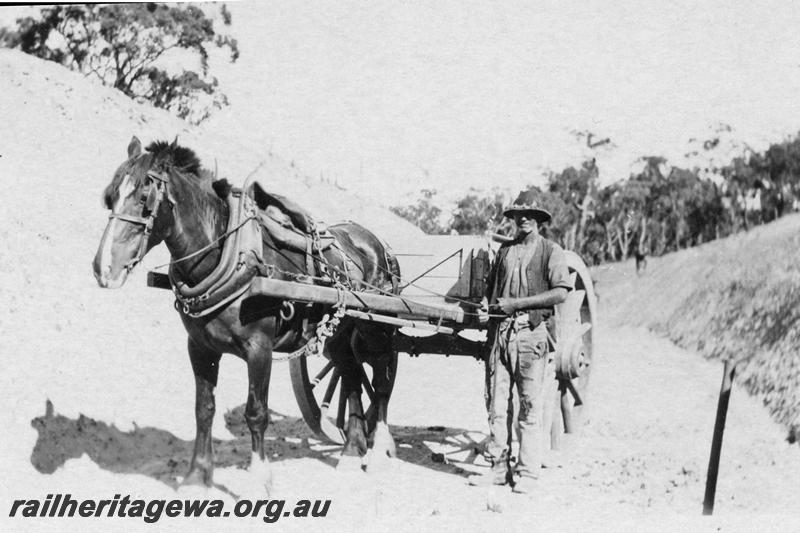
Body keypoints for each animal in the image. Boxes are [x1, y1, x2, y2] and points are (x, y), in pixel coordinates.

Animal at [93, 137, 400, 490]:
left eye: (145, 200)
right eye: (110, 197)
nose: (103, 268)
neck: (228, 253)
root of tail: (379, 245)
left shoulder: (259, 348)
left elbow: (256, 412)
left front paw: (259, 478)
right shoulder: (199, 347)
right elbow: (204, 409)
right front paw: (197, 476)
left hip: (376, 330)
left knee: (380, 382)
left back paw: (379, 450)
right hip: (338, 336)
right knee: (350, 376)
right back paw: (351, 452)